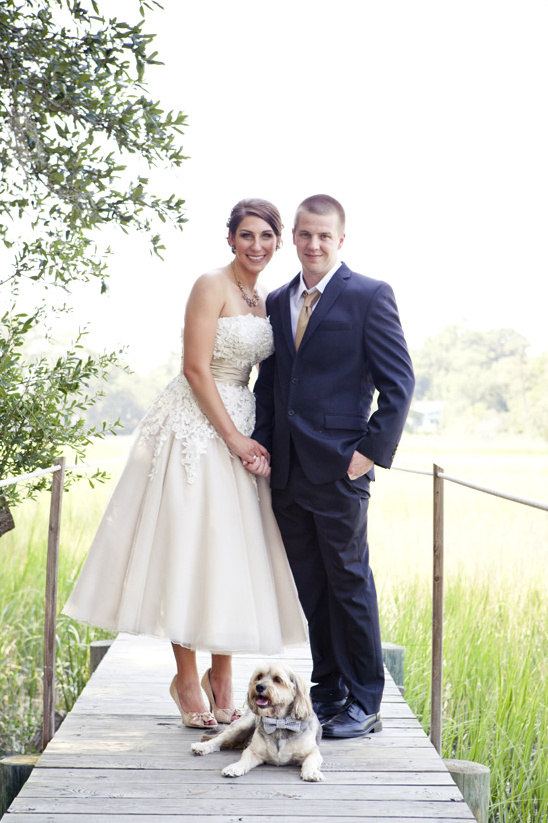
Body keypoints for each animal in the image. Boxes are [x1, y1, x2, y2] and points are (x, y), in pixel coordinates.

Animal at [191, 664, 324, 784]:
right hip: (242, 724)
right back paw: (203, 747)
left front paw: (311, 772)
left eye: (277, 679)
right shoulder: (253, 751)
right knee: (219, 739)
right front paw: (235, 767)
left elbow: (310, 761)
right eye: (259, 676)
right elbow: (244, 760)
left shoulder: (313, 752)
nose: (259, 686)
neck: (278, 723)